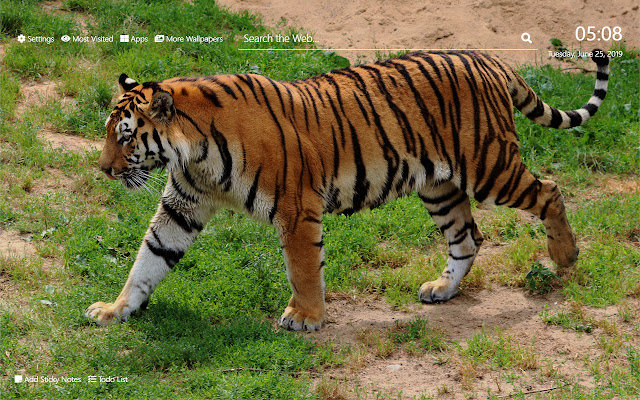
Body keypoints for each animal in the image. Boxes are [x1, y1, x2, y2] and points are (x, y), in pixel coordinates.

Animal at [86, 50, 608, 332]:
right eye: (111, 133)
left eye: (126, 136)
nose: (104, 169)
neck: (194, 154)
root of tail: (488, 58)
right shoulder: (183, 206)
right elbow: (148, 260)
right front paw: (116, 309)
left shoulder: (296, 209)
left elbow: (302, 269)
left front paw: (306, 317)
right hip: (439, 186)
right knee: (467, 239)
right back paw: (441, 289)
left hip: (489, 167)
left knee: (549, 190)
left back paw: (564, 256)